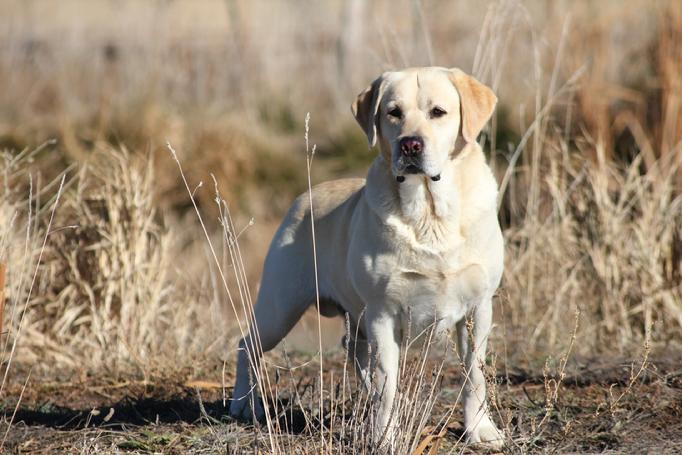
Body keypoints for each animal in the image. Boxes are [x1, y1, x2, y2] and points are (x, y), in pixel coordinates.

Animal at [231, 67, 502, 448]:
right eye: (393, 112)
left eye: (438, 112)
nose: (410, 144)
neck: (429, 215)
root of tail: (302, 197)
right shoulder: (383, 312)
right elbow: (388, 383)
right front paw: (385, 437)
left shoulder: (479, 307)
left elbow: (474, 374)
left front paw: (481, 430)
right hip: (279, 308)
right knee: (247, 345)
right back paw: (243, 404)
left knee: (355, 353)